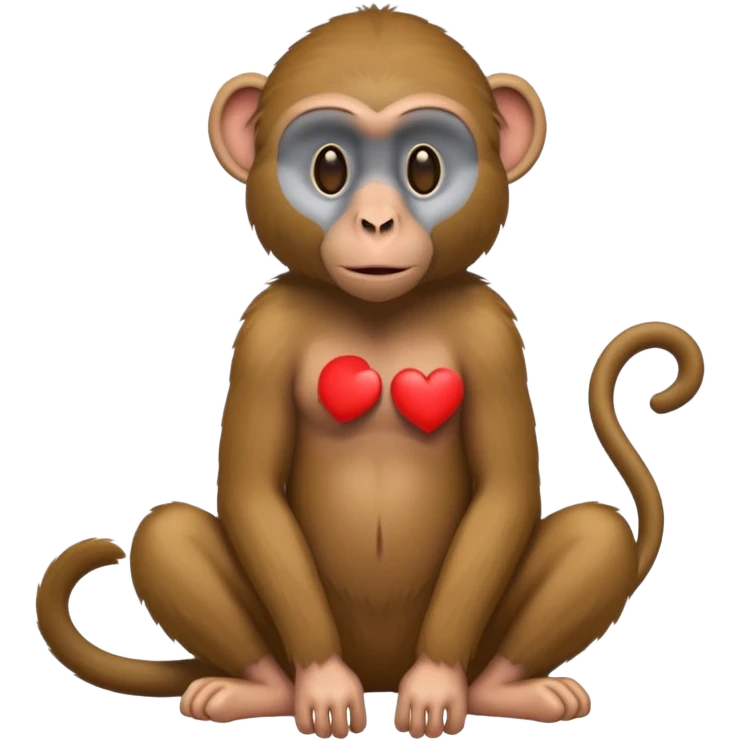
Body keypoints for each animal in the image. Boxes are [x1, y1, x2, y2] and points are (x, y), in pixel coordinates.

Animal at [34, 5, 705, 737]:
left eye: (424, 167)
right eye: (329, 167)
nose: (377, 222)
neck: (379, 311)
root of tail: (380, 671)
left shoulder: (491, 329)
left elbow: (504, 490)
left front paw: (436, 685)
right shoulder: (264, 329)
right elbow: (250, 488)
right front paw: (322, 686)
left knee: (598, 534)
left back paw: (505, 689)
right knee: (165, 536)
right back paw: (258, 688)